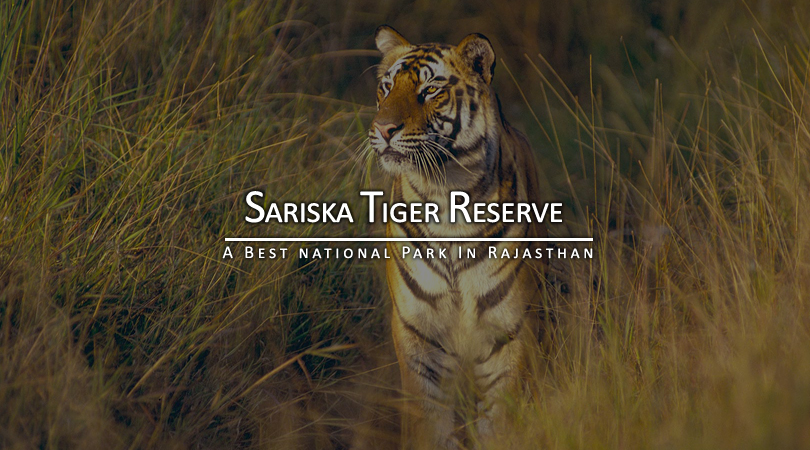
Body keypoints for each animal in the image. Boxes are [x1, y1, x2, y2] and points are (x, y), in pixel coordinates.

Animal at [368, 26, 550, 449]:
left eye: (430, 89)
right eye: (387, 87)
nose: (383, 129)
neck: (446, 197)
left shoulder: (509, 332)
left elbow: (501, 419)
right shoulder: (418, 333)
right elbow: (428, 421)